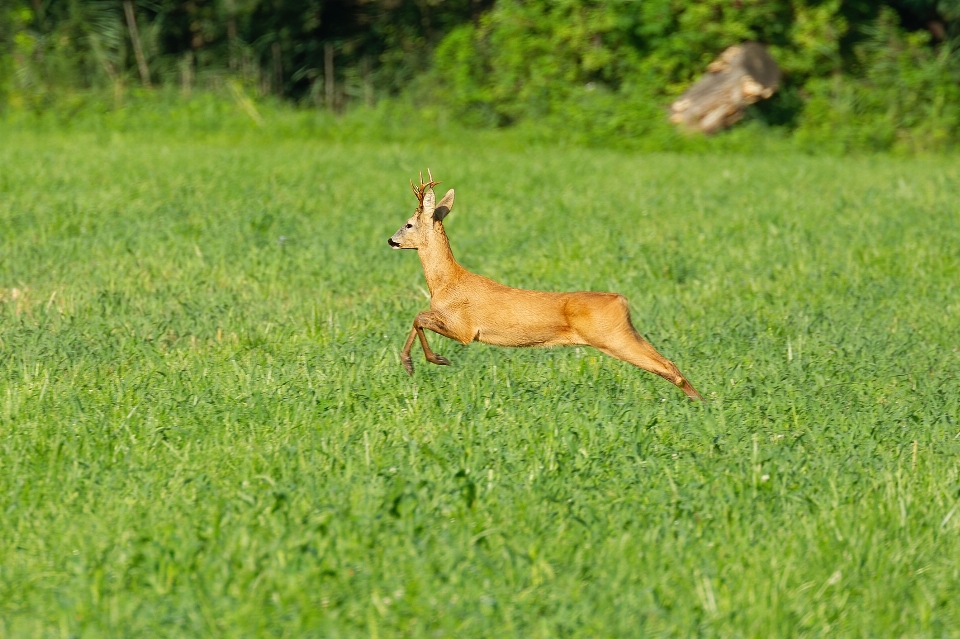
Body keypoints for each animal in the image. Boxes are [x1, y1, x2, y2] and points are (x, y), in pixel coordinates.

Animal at [386, 170, 700, 400]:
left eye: (408, 224)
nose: (391, 240)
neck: (446, 282)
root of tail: (620, 300)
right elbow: (418, 317)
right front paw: (415, 363)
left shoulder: (464, 329)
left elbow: (419, 317)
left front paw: (428, 360)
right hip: (624, 332)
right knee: (670, 363)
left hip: (612, 337)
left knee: (666, 367)